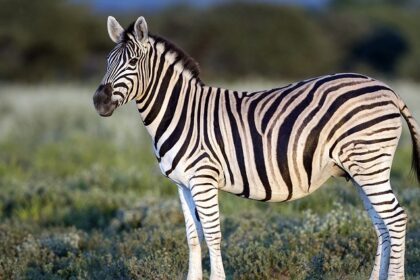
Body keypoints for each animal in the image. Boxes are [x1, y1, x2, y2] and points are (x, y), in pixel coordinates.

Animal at [92, 16, 420, 278]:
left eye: (133, 63)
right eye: (107, 62)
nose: (99, 101)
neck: (182, 113)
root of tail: (387, 89)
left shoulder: (203, 179)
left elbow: (213, 235)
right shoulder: (182, 184)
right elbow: (193, 237)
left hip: (369, 164)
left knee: (396, 219)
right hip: (360, 170)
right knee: (381, 225)